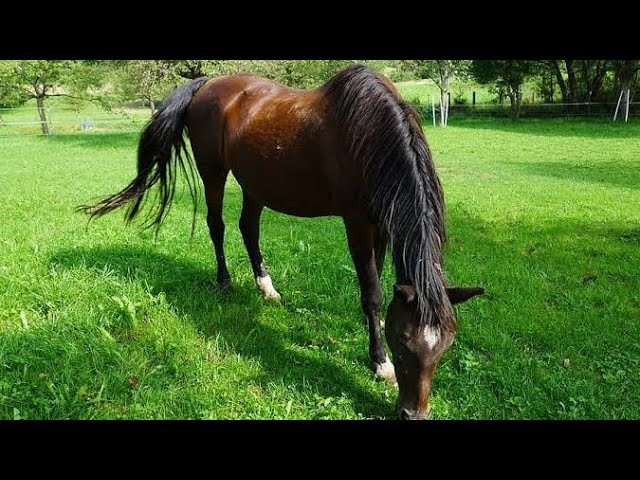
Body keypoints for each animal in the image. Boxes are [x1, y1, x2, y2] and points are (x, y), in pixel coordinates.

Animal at [81, 64, 484, 420]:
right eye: (403, 343)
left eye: (445, 347)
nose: (413, 414)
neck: (372, 135)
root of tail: (208, 83)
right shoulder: (356, 222)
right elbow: (371, 292)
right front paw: (379, 363)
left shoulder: (383, 224)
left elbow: (379, 285)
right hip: (213, 171)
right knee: (217, 226)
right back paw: (225, 282)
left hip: (254, 183)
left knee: (248, 228)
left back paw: (266, 288)